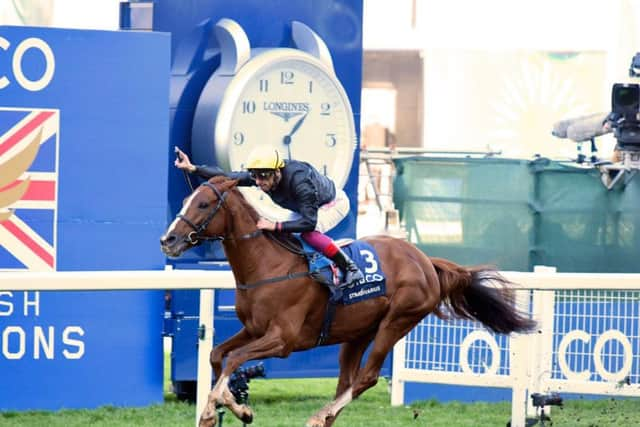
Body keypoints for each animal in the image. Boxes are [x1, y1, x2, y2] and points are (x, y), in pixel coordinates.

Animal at [159, 176, 536, 427]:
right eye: (188, 200)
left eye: (203, 204)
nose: (168, 240)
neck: (270, 266)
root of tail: (425, 260)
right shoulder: (253, 329)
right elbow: (217, 355)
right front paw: (236, 407)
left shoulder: (282, 340)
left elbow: (235, 358)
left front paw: (212, 409)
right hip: (357, 333)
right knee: (348, 380)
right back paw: (326, 417)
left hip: (397, 321)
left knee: (367, 377)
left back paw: (320, 415)